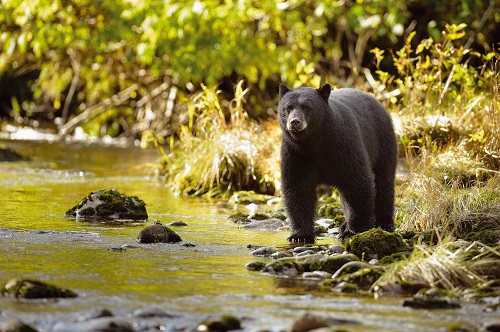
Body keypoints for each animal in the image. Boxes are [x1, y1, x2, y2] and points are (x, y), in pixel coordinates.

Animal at [280, 82, 396, 244]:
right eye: (288, 108)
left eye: (307, 107)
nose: (295, 122)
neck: (314, 142)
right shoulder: (296, 153)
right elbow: (297, 187)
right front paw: (299, 235)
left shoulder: (343, 144)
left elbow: (358, 180)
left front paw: (353, 231)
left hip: (383, 142)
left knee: (383, 181)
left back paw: (384, 223)